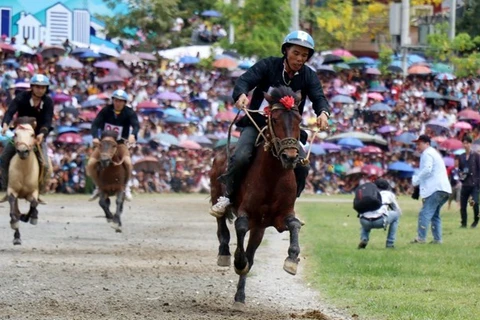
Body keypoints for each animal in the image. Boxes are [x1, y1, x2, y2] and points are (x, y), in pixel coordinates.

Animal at [210, 85, 304, 308]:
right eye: (275, 119)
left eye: (299, 120)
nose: (290, 156)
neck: (273, 176)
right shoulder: (247, 213)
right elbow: (240, 227)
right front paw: (238, 261)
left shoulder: (279, 217)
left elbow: (294, 224)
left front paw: (292, 260)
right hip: (215, 192)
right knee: (221, 223)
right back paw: (224, 253)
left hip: (260, 228)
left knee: (251, 253)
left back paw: (240, 296)